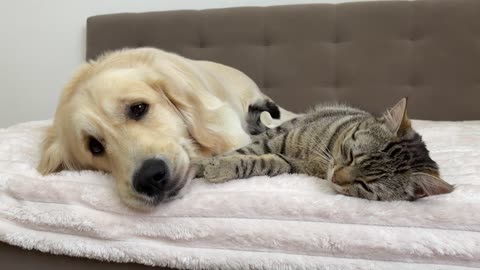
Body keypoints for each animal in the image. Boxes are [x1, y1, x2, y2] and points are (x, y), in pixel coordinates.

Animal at [195, 98, 454, 200]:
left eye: (365, 185)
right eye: (350, 156)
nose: (335, 178)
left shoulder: (290, 164)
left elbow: (262, 162)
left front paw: (221, 167)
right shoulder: (279, 140)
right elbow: (245, 151)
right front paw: (205, 165)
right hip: (286, 126)